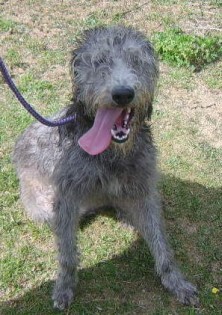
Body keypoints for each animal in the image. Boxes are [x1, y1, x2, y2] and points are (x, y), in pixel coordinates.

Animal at [13, 25, 199, 312]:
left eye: (136, 60)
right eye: (100, 61)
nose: (122, 93)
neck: (111, 154)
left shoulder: (145, 188)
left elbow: (161, 241)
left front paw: (176, 281)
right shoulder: (66, 195)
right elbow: (67, 254)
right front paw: (64, 287)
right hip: (41, 205)